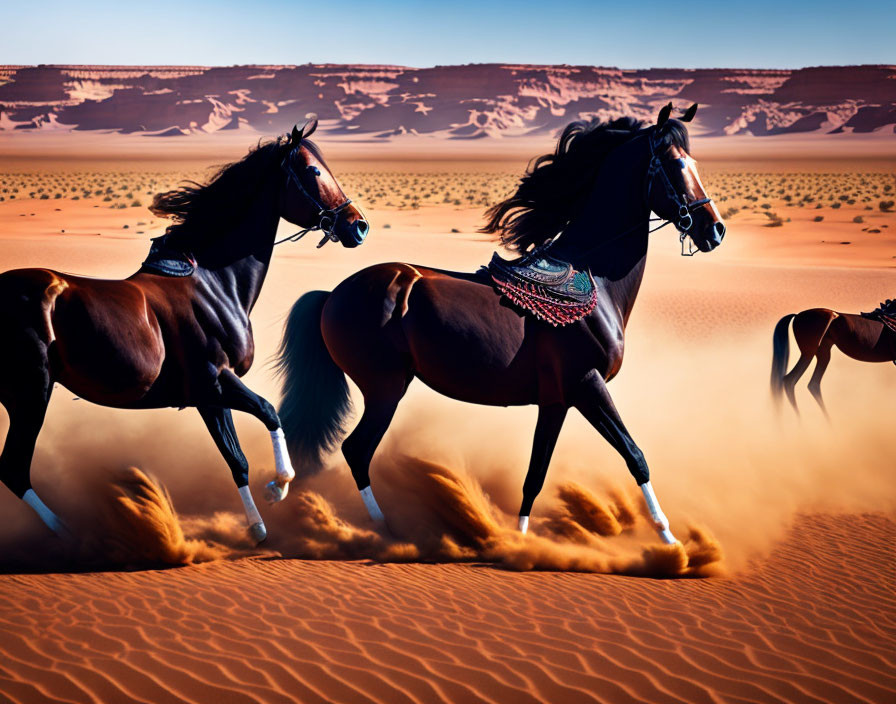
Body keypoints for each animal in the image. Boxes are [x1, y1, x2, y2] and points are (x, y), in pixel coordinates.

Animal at [0, 118, 370, 540]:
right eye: (313, 171)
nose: (358, 226)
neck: (214, 283)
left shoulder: (207, 397)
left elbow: (238, 455)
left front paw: (260, 518)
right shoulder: (214, 382)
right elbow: (264, 419)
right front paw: (275, 491)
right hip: (31, 393)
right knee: (14, 468)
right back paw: (67, 532)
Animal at [276, 103, 724, 544]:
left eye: (693, 162)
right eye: (676, 165)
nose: (714, 229)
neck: (595, 279)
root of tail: (331, 294)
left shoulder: (557, 401)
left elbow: (535, 475)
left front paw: (520, 540)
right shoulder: (588, 384)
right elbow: (635, 456)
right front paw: (669, 538)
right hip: (385, 390)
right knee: (356, 451)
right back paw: (383, 530)